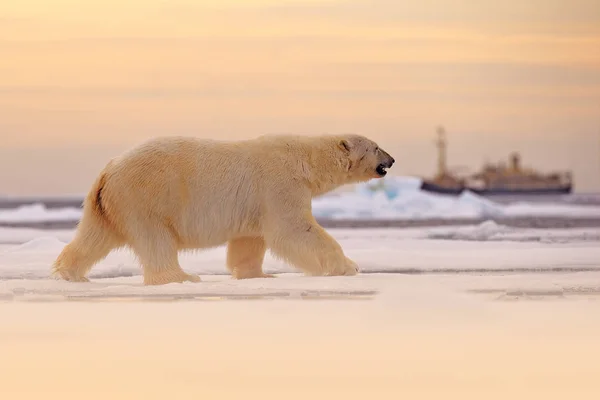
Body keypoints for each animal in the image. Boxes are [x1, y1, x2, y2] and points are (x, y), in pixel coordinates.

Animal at [52, 134, 394, 284]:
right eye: (375, 146)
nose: (391, 160)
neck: (305, 160)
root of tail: (108, 171)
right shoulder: (280, 184)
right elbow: (294, 229)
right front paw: (348, 266)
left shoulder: (256, 202)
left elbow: (250, 239)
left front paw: (258, 274)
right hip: (146, 195)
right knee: (156, 239)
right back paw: (180, 277)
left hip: (107, 204)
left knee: (93, 236)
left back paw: (70, 273)